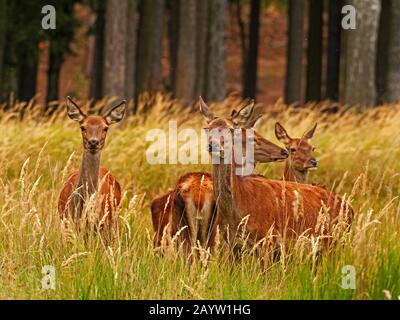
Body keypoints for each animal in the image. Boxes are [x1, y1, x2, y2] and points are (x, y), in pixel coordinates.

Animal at [200, 97, 354, 250]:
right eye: (207, 129)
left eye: (231, 130)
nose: (213, 145)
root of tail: (350, 208)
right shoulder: (231, 244)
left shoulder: (267, 238)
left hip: (334, 240)